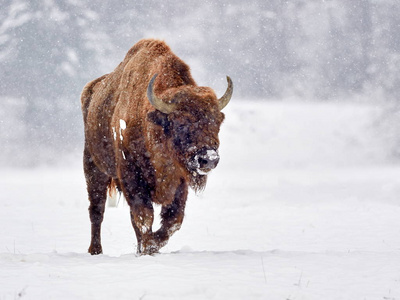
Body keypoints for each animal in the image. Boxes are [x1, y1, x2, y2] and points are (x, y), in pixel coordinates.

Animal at [80, 38, 233, 255]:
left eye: (217, 121)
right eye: (180, 122)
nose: (208, 159)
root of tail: (91, 90)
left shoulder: (180, 184)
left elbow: (173, 220)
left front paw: (150, 248)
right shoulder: (132, 178)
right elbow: (144, 217)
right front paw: (148, 247)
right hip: (94, 168)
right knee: (96, 210)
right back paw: (95, 250)